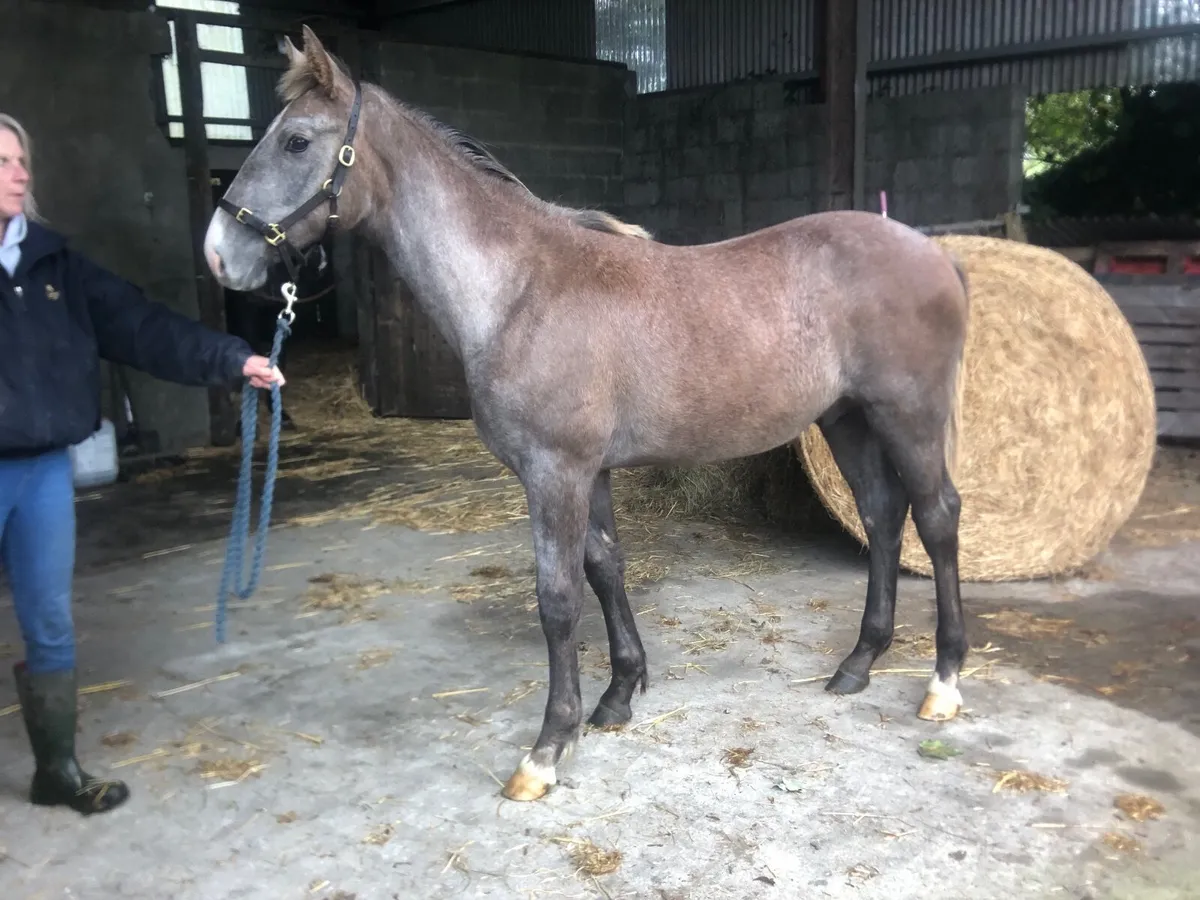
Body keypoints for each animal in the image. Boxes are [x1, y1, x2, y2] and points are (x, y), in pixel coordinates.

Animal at [202, 26, 971, 804]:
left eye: (297, 140)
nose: (218, 254)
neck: (518, 290)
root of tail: (934, 251)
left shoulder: (555, 472)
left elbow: (558, 598)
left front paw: (547, 748)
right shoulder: (588, 472)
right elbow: (605, 566)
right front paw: (619, 693)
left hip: (907, 414)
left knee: (937, 516)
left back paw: (943, 682)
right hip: (847, 418)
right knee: (881, 516)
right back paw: (858, 663)